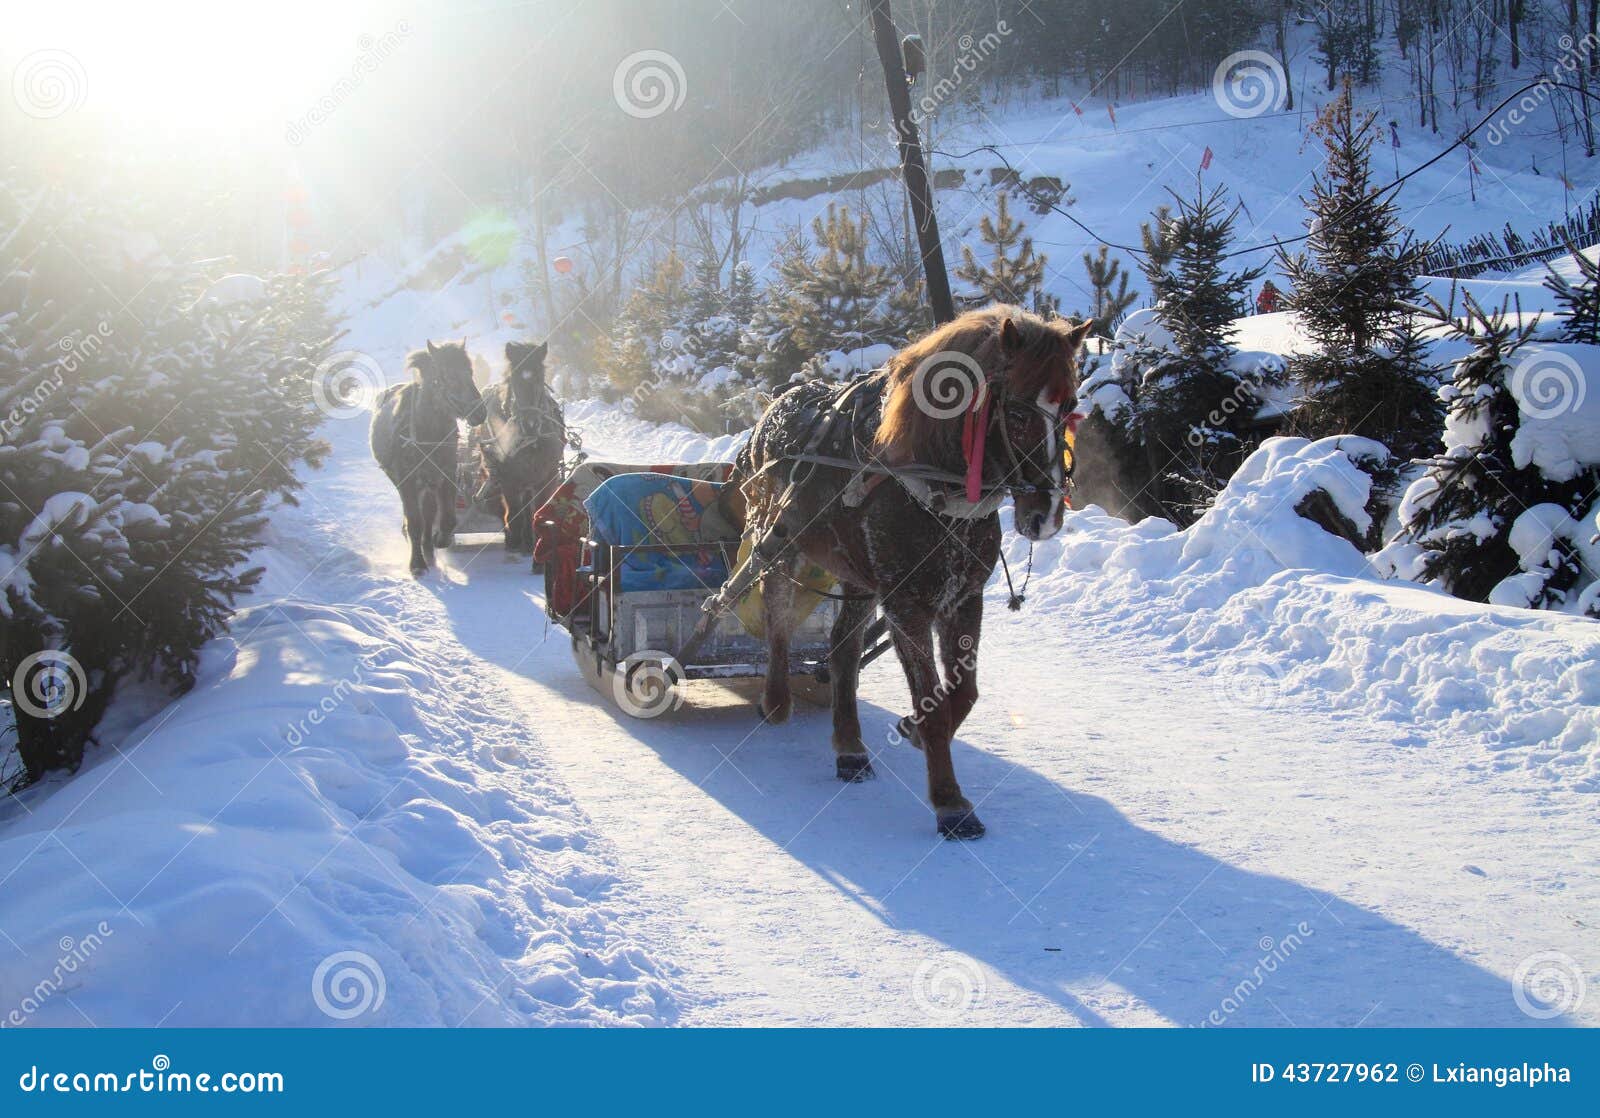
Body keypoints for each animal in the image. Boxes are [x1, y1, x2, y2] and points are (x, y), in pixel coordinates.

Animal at [369, 339, 486, 575]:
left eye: (470, 371)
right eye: (447, 376)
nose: (479, 412)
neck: (427, 435)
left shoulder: (446, 476)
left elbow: (448, 519)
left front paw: (440, 540)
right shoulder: (407, 481)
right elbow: (415, 522)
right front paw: (417, 564)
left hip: (429, 484)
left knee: (430, 513)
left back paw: (430, 550)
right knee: (419, 517)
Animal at [473, 339, 569, 553]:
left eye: (540, 377)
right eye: (514, 379)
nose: (530, 424)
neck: (531, 442)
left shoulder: (547, 477)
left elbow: (539, 513)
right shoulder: (509, 479)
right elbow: (514, 517)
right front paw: (515, 540)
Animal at [732, 305, 1088, 838]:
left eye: (1069, 407)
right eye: (1020, 413)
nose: (1045, 514)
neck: (932, 490)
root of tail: (775, 406)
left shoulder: (963, 598)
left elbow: (962, 694)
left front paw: (913, 731)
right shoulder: (906, 604)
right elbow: (934, 704)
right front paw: (950, 803)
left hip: (858, 576)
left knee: (842, 649)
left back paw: (850, 748)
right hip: (779, 543)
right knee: (776, 616)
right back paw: (776, 700)